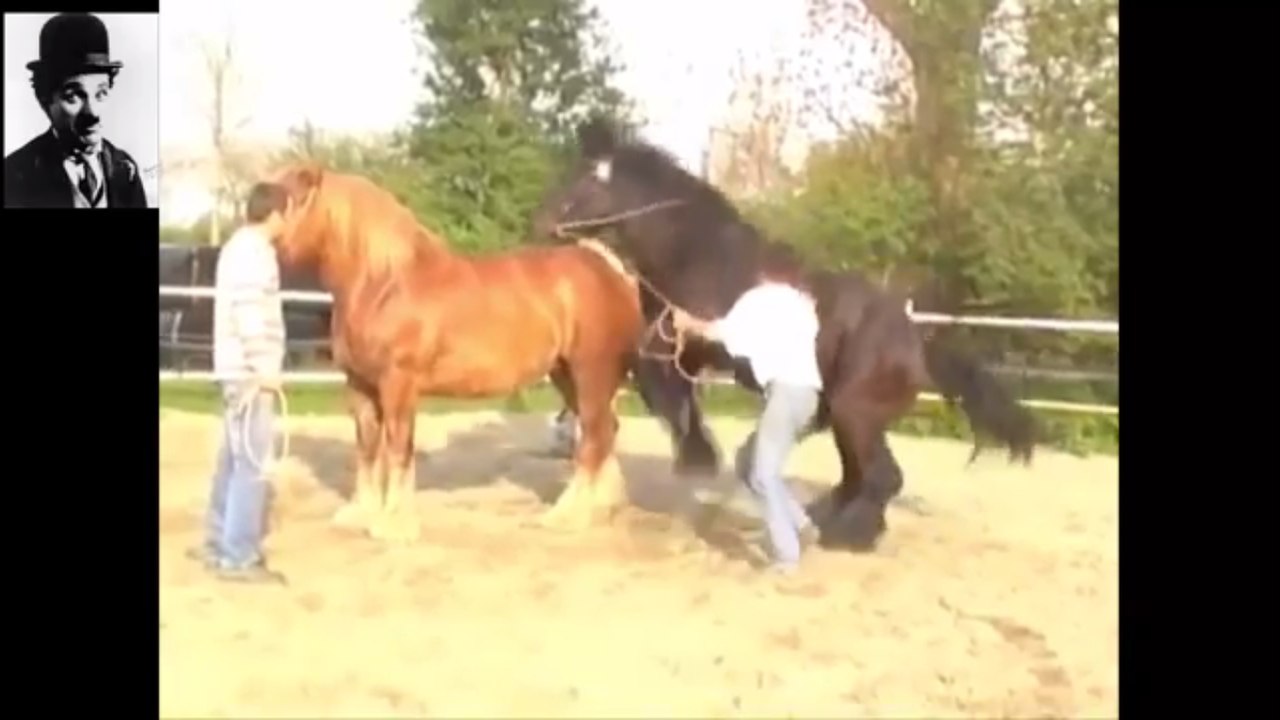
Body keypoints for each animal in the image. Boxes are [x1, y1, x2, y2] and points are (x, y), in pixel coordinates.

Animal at [265, 162, 645, 542]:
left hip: (591, 371)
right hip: (566, 374)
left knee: (594, 436)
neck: (386, 282)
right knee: (604, 431)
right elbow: (367, 447)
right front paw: (360, 514)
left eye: (283, 196)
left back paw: (568, 516)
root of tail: (611, 270)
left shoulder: (398, 384)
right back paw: (602, 506)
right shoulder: (360, 385)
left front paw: (395, 525)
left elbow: (398, 447)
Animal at [528, 118, 1037, 551]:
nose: (544, 220)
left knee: (881, 478)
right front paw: (696, 455)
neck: (707, 259)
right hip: (846, 418)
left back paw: (844, 536)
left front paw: (697, 458)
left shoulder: (694, 347)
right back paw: (828, 523)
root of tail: (915, 336)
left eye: (588, 179)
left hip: (855, 413)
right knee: (858, 478)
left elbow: (662, 388)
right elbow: (668, 393)